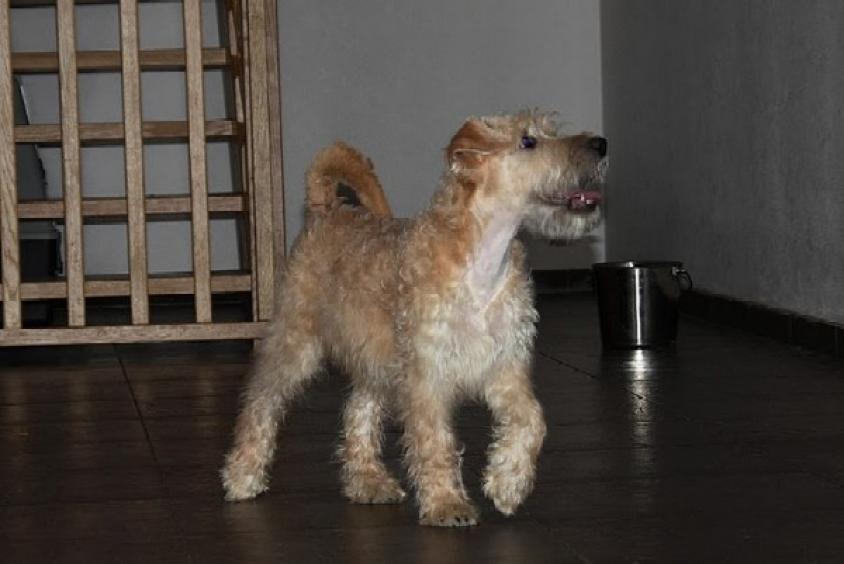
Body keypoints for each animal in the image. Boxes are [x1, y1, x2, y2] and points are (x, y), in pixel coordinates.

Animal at [221, 111, 607, 526]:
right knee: (260, 405)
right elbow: (436, 442)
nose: (601, 144)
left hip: (376, 361)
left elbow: (531, 421)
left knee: (357, 413)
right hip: (296, 345)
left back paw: (369, 482)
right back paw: (242, 476)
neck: (482, 265)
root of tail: (324, 210)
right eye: (528, 141)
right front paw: (447, 504)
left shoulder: (505, 367)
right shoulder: (427, 375)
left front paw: (507, 484)